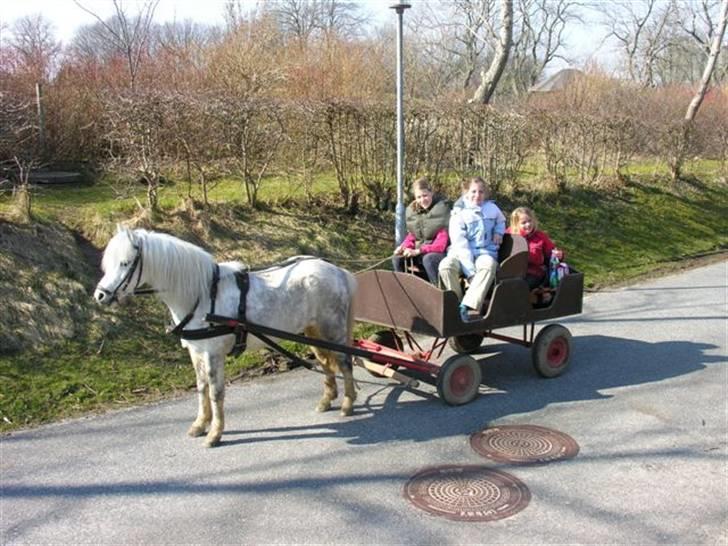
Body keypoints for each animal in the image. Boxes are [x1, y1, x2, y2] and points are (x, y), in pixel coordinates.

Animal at [94, 225, 358, 446]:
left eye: (126, 263)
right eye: (110, 262)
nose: (100, 295)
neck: (201, 295)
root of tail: (336, 270)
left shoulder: (213, 353)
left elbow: (216, 391)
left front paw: (215, 433)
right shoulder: (196, 352)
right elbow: (202, 387)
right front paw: (200, 424)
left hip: (332, 328)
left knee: (344, 362)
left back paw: (347, 403)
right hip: (312, 331)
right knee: (326, 362)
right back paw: (327, 399)